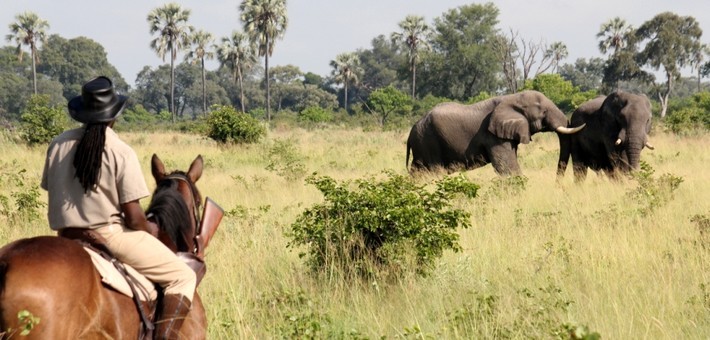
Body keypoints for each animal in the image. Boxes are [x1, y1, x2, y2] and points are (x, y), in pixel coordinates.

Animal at [406, 90, 584, 175]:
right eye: (544, 111)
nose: (557, 185)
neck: (512, 97)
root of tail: (410, 133)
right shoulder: (492, 135)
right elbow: (506, 166)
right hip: (428, 142)